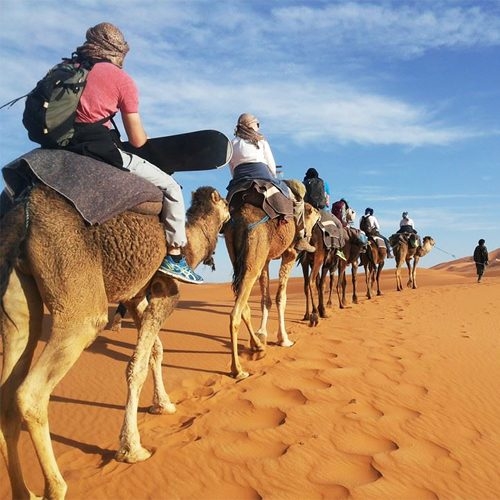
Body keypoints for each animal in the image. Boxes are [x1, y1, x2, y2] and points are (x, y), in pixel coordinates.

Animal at [0, 185, 229, 500]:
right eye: (228, 203)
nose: (230, 216)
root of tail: (24, 210)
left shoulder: (136, 297)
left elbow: (155, 350)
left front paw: (163, 405)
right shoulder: (165, 292)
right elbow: (137, 366)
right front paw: (132, 448)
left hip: (16, 292)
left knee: (11, 380)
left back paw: (25, 492)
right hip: (76, 294)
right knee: (31, 392)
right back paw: (55, 487)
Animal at [224, 187, 318, 378]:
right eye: (313, 213)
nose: (319, 214)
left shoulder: (266, 259)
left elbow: (265, 299)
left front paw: (263, 334)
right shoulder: (290, 253)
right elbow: (281, 298)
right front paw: (285, 339)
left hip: (239, 257)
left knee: (244, 308)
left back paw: (258, 346)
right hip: (253, 260)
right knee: (235, 313)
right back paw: (238, 370)